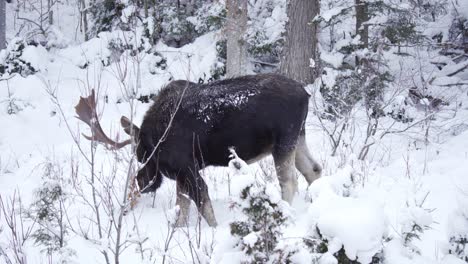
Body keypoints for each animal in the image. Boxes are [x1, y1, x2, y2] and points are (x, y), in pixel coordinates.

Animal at [76, 73, 322, 227]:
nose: (141, 182)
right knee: (314, 169)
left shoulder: (187, 169)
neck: (155, 139)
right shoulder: (181, 175)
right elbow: (181, 210)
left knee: (290, 181)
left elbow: (204, 208)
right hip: (298, 137)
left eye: (140, 155)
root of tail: (306, 95)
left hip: (283, 142)